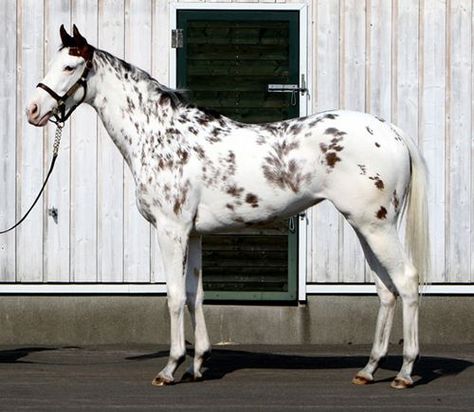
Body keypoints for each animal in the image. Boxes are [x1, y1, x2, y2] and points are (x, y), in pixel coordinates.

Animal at [25, 25, 430, 390]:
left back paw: (405, 372)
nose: (33, 110)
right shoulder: (194, 235)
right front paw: (198, 365)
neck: (158, 135)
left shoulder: (171, 231)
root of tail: (392, 132)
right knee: (386, 291)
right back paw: (368, 370)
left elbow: (174, 297)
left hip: (376, 226)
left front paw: (170, 368)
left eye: (68, 67)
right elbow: (195, 295)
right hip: (365, 226)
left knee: (407, 283)